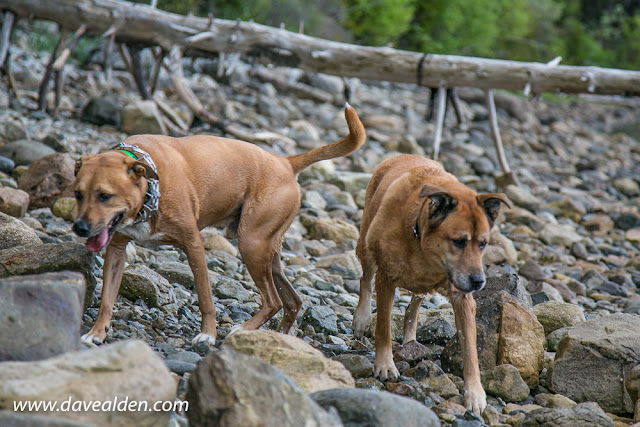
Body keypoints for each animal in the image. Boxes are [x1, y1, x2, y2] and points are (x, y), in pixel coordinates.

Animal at [74, 104, 364, 348]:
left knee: (273, 301)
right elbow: (107, 299)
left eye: (104, 196)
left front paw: (208, 335)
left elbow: (205, 299)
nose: (79, 228)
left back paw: (244, 329)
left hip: (251, 245)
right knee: (292, 301)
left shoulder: (193, 246)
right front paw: (97, 332)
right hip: (266, 252)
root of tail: (285, 161)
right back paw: (277, 339)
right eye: (77, 193)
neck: (150, 189)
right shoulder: (116, 250)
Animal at [350, 155, 510, 416]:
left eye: (483, 243)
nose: (479, 281)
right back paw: (361, 319)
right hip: (366, 242)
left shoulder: (462, 298)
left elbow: (470, 350)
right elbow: (383, 327)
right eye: (459, 241)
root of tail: (401, 155)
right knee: (366, 279)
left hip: (423, 287)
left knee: (413, 306)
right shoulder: (386, 278)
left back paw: (410, 340)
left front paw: (475, 394)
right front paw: (385, 365)